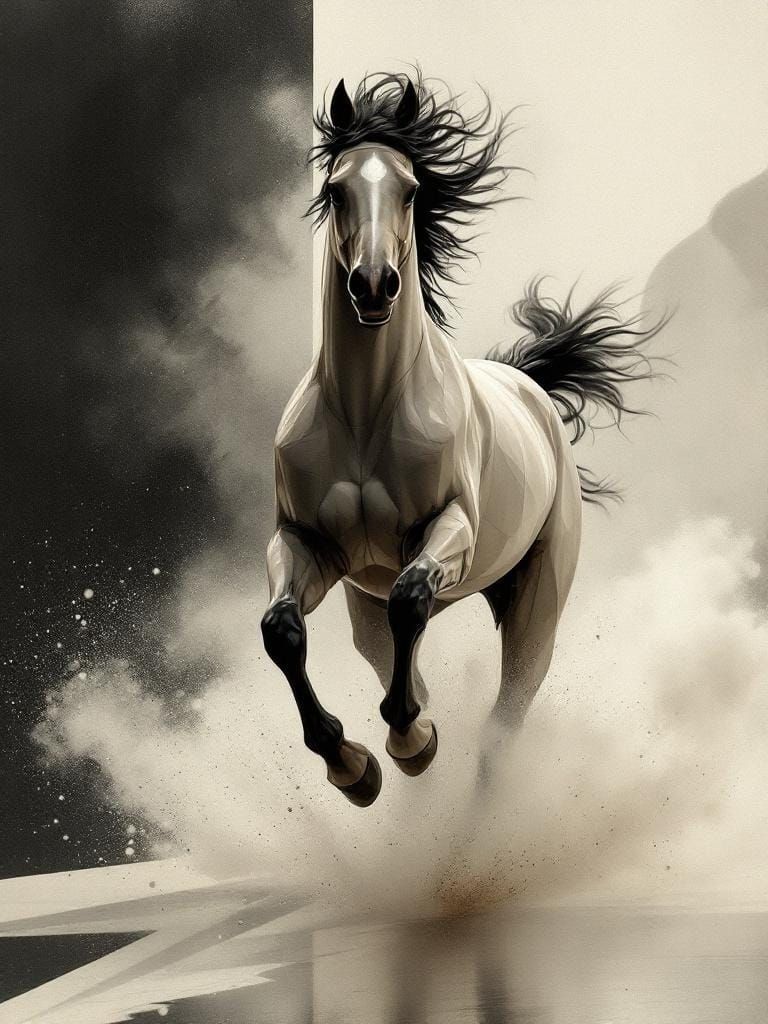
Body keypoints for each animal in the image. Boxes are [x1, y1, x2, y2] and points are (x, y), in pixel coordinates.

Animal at [261, 73, 661, 808]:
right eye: (336, 189)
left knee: (504, 721)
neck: (366, 413)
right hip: (363, 608)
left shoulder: (451, 528)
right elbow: (282, 631)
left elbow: (411, 598)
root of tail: (529, 386)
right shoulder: (308, 545)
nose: (373, 286)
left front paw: (410, 742)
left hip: (536, 605)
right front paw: (353, 766)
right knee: (397, 653)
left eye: (409, 188)